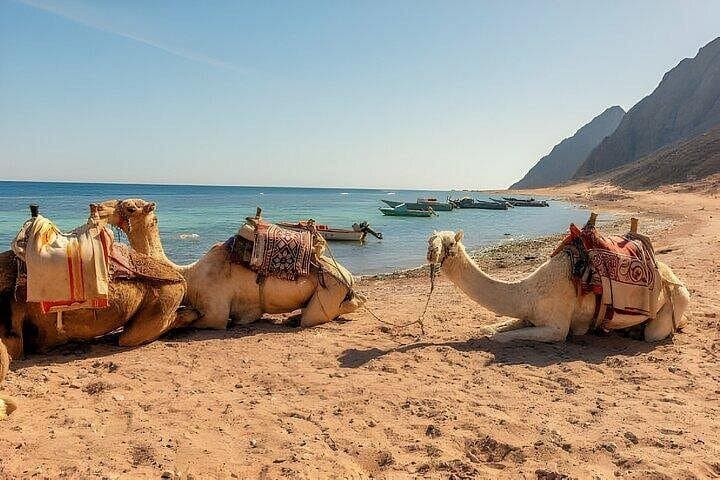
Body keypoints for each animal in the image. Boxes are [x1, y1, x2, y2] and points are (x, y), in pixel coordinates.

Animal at [95, 198, 365, 329]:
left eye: (130, 207)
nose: (96, 207)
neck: (190, 274)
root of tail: (349, 277)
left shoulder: (215, 312)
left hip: (329, 290)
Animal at [426, 227, 690, 343]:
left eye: (449, 244)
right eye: (430, 239)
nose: (430, 253)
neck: (528, 292)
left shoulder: (557, 327)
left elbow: (496, 337)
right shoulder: (529, 315)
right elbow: (490, 329)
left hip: (677, 300)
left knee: (654, 332)